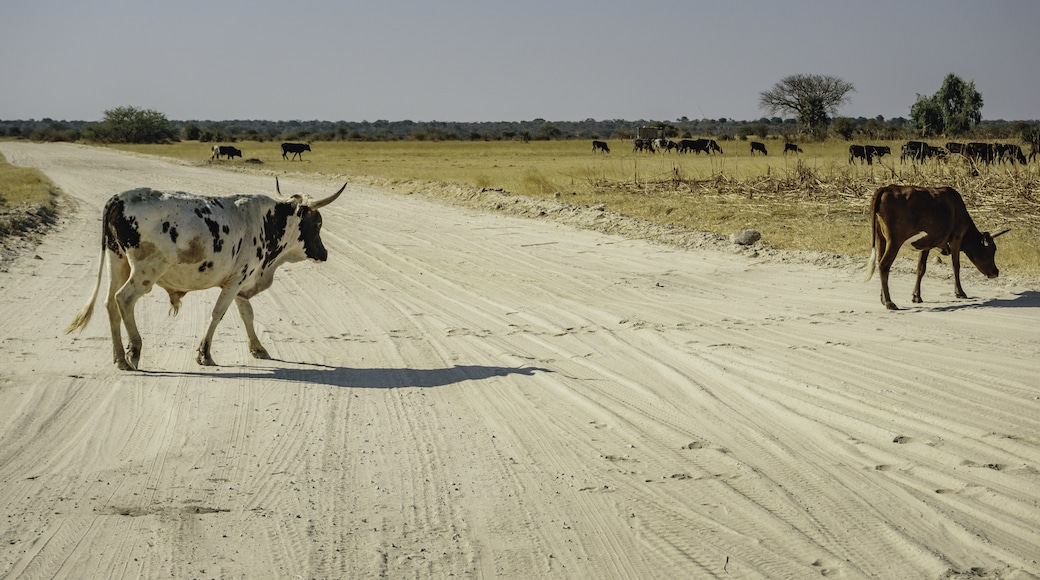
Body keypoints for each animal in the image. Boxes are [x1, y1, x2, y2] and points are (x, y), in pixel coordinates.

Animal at [65, 178, 349, 367]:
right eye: (317, 222)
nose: (324, 253)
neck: (268, 221)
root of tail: (121, 197)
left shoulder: (240, 282)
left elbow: (247, 314)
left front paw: (257, 348)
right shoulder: (236, 281)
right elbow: (218, 313)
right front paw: (205, 353)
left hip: (118, 262)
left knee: (110, 303)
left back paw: (119, 358)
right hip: (146, 272)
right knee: (123, 299)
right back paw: (133, 350)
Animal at [869, 183, 1006, 311]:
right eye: (992, 249)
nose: (996, 272)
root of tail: (887, 188)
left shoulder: (925, 244)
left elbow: (921, 268)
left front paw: (916, 296)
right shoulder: (956, 239)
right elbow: (956, 266)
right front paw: (960, 292)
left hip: (881, 238)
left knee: (880, 262)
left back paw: (883, 299)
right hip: (894, 241)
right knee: (884, 265)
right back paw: (889, 302)